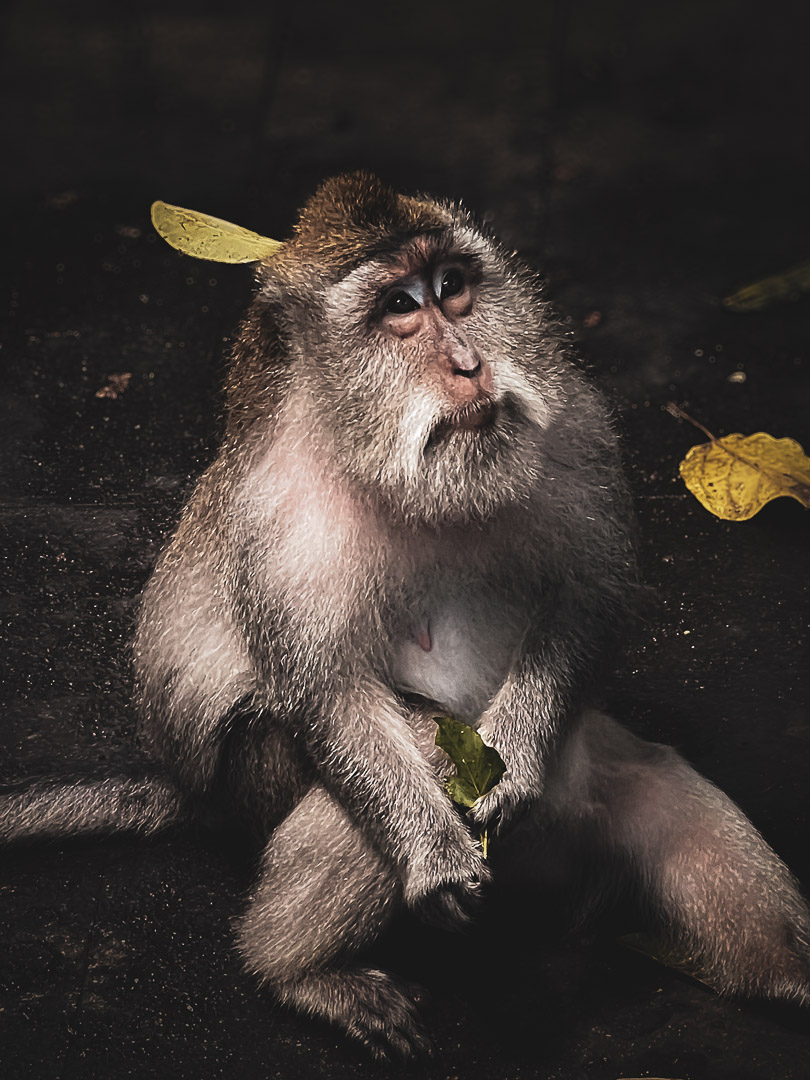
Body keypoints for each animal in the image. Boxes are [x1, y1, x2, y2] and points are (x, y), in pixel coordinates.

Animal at [2, 172, 809, 1060]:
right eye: (397, 305)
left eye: (453, 287)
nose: (469, 364)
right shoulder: (280, 514)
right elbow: (330, 695)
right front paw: (432, 862)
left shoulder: (577, 427)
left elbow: (586, 599)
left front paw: (515, 759)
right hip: (256, 786)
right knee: (414, 747)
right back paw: (295, 973)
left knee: (656, 788)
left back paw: (789, 973)